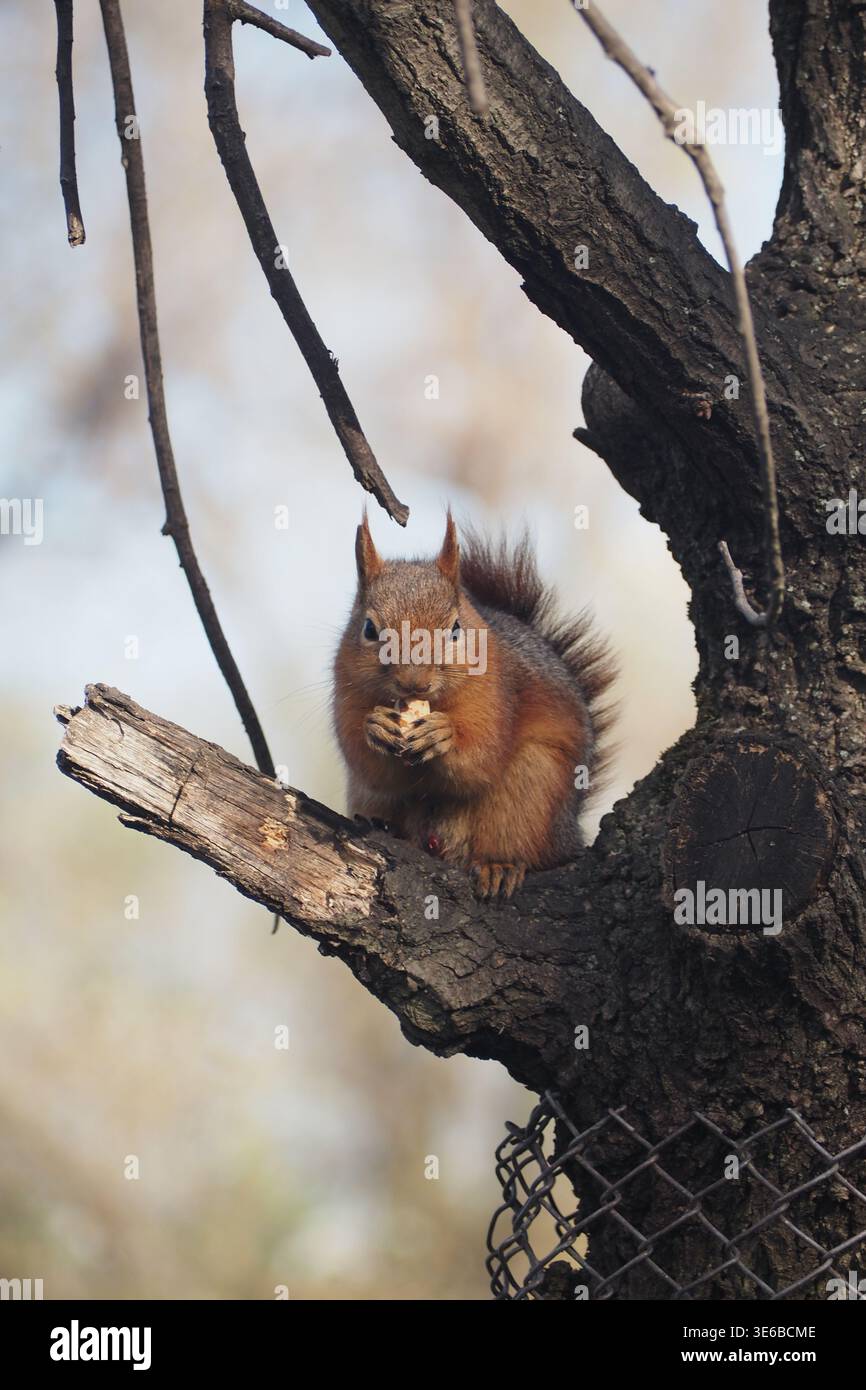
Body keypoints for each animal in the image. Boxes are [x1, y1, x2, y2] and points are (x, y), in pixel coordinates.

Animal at [333, 511, 616, 899]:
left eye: (455, 629)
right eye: (369, 629)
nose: (413, 682)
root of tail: (568, 836)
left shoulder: (497, 693)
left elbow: (482, 756)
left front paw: (444, 734)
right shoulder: (347, 690)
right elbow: (369, 766)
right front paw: (375, 727)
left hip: (531, 786)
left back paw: (500, 865)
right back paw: (384, 825)